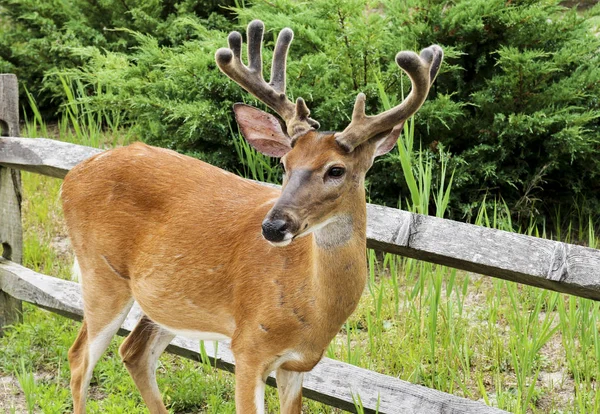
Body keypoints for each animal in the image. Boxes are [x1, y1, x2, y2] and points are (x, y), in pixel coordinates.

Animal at [62, 18, 440, 410]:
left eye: (336, 170)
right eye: (285, 164)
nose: (274, 226)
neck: (314, 311)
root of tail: (74, 173)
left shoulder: (297, 364)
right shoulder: (247, 347)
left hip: (163, 300)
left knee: (133, 351)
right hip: (100, 273)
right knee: (79, 359)